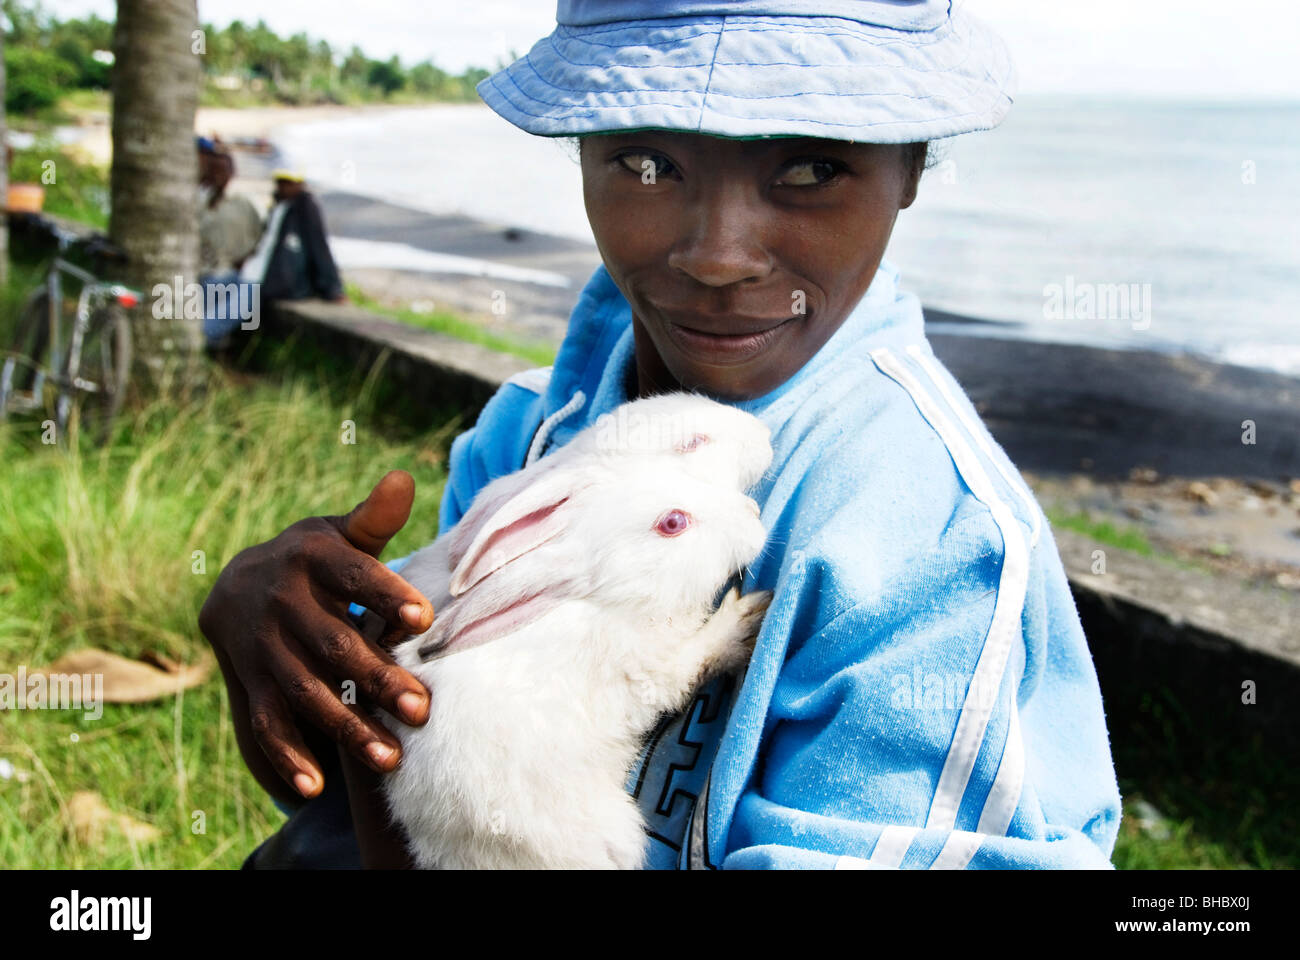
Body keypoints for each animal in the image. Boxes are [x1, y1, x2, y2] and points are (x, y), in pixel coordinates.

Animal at [379, 456, 773, 870]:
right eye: (672, 523)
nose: (753, 510)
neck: (615, 598)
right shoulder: (653, 669)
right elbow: (698, 657)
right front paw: (743, 620)